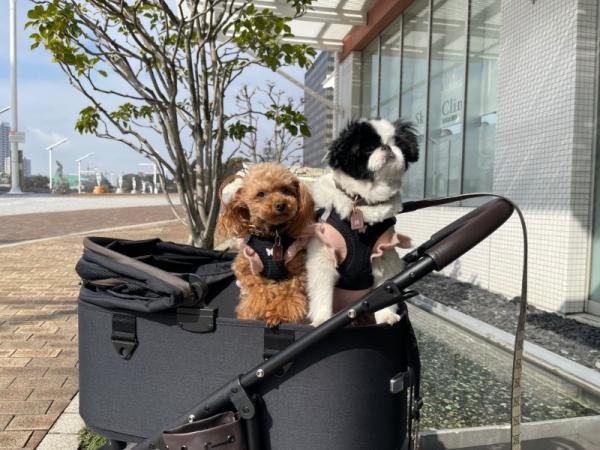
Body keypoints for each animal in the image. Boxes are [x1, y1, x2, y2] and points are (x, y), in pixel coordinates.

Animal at [218, 163, 315, 327]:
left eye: (286, 190)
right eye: (261, 194)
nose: (281, 204)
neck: (271, 236)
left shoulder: (298, 268)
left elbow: (288, 291)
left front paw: (277, 314)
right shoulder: (246, 266)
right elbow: (259, 288)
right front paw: (258, 308)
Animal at [306, 119, 419, 326]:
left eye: (398, 144)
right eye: (369, 148)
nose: (386, 147)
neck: (363, 203)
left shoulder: (385, 255)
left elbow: (386, 289)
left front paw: (385, 316)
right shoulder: (323, 258)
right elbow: (322, 293)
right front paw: (322, 320)